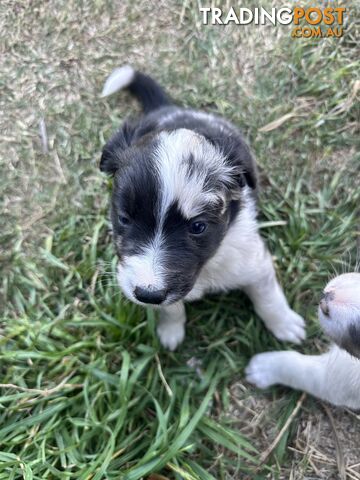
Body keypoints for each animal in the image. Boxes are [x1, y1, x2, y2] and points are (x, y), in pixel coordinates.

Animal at [98, 65, 304, 350]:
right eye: (124, 219)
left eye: (198, 227)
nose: (147, 294)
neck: (206, 267)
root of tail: (170, 108)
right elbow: (172, 308)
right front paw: (171, 331)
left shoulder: (254, 263)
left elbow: (268, 298)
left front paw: (285, 324)